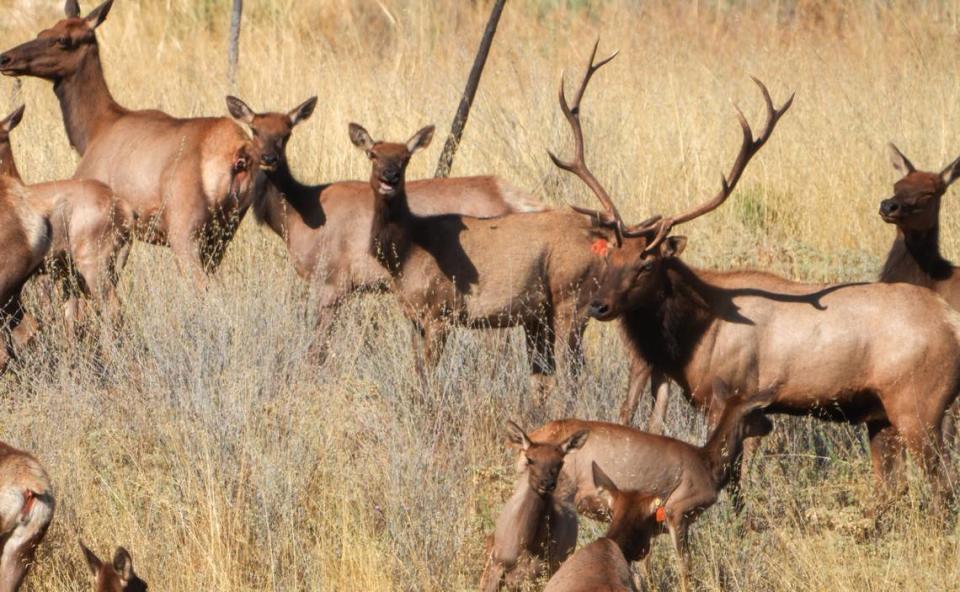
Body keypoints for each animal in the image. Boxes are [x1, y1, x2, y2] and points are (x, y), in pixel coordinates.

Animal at [0, 0, 256, 286]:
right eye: (42, 32)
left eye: (63, 39)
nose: (5, 58)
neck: (91, 133)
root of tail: (239, 153)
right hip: (225, 231)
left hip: (185, 227)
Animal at [532, 382, 780, 592]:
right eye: (759, 411)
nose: (770, 425)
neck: (708, 465)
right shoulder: (677, 509)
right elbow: (685, 564)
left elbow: (646, 567)